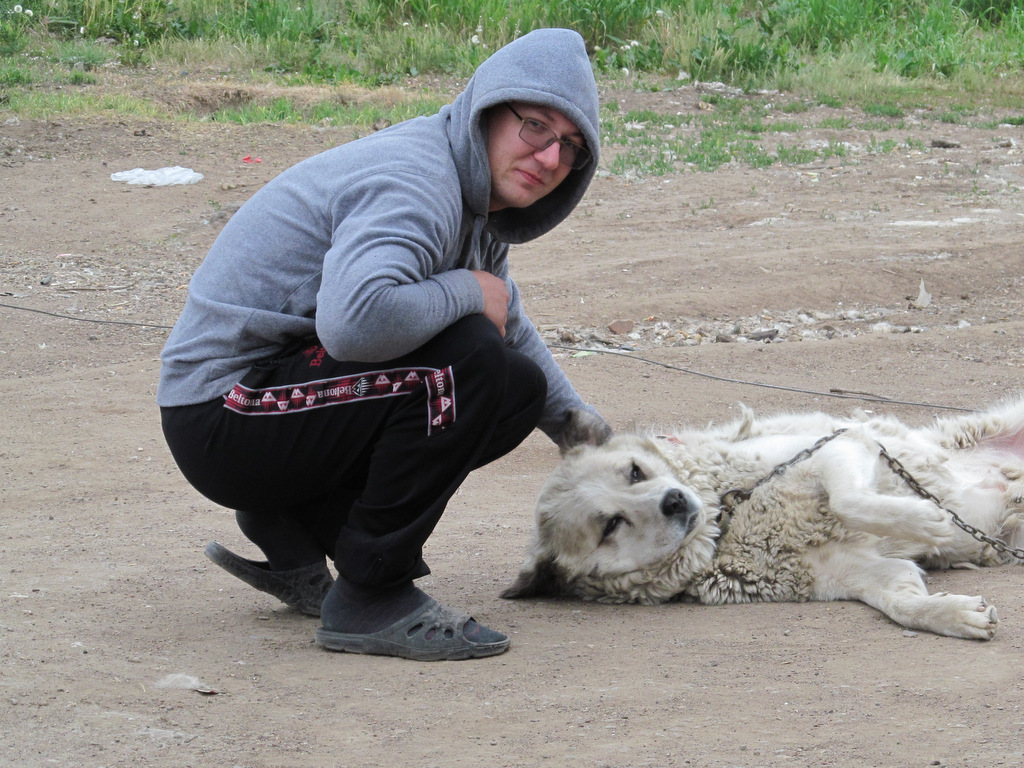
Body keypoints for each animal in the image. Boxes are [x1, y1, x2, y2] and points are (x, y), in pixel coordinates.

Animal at [502, 399, 1024, 640]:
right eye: (609, 525)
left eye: (635, 471)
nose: (674, 501)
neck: (729, 520)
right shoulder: (862, 571)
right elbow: (903, 605)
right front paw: (954, 614)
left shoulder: (841, 443)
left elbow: (847, 501)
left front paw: (923, 518)